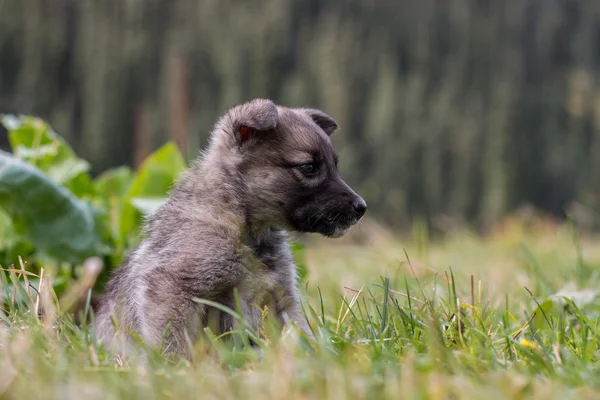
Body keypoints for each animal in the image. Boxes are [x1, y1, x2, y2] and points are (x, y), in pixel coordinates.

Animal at [95, 97, 366, 360]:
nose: (361, 207)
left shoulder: (280, 299)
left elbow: (300, 334)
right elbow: (173, 343)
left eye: (335, 166)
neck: (245, 228)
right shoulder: (171, 286)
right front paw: (174, 368)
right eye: (308, 167)